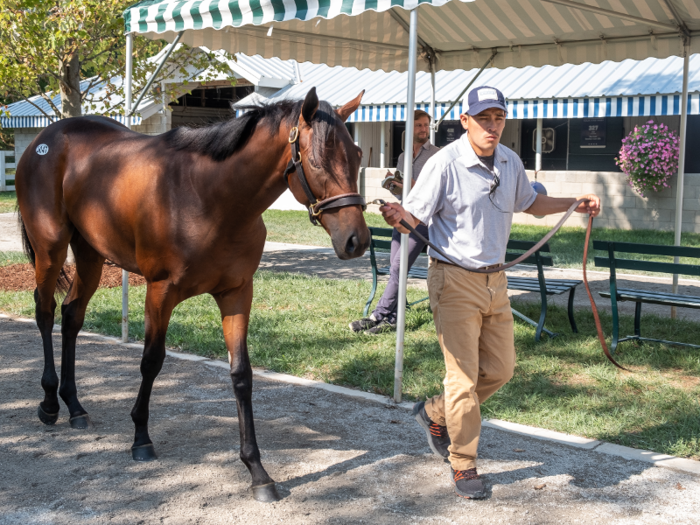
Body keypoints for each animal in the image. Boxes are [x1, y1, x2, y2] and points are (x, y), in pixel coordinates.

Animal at [13, 87, 370, 500]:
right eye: (316, 160)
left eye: (357, 155)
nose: (357, 240)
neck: (210, 197)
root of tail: (43, 140)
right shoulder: (160, 292)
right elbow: (151, 361)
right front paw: (140, 438)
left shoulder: (236, 293)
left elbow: (241, 374)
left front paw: (257, 471)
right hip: (51, 250)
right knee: (45, 312)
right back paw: (49, 403)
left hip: (90, 255)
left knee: (71, 316)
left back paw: (75, 406)